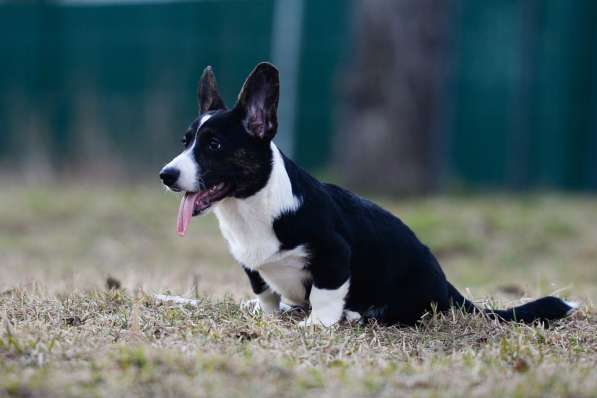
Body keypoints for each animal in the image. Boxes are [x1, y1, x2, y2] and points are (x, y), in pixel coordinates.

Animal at [159, 62, 576, 326]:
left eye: (213, 146)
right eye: (185, 142)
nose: (166, 175)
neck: (252, 207)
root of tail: (449, 287)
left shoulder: (334, 253)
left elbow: (326, 294)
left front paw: (319, 324)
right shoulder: (253, 269)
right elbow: (266, 294)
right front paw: (272, 312)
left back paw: (357, 315)